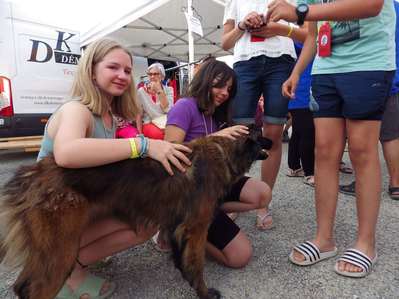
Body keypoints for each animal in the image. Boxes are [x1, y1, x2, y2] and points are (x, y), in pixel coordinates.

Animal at [0, 127, 272, 299]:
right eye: (261, 133)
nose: (273, 139)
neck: (223, 152)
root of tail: (32, 174)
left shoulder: (176, 224)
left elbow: (182, 259)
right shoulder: (196, 227)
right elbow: (196, 264)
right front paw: (204, 293)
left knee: (21, 286)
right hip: (61, 250)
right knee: (34, 289)